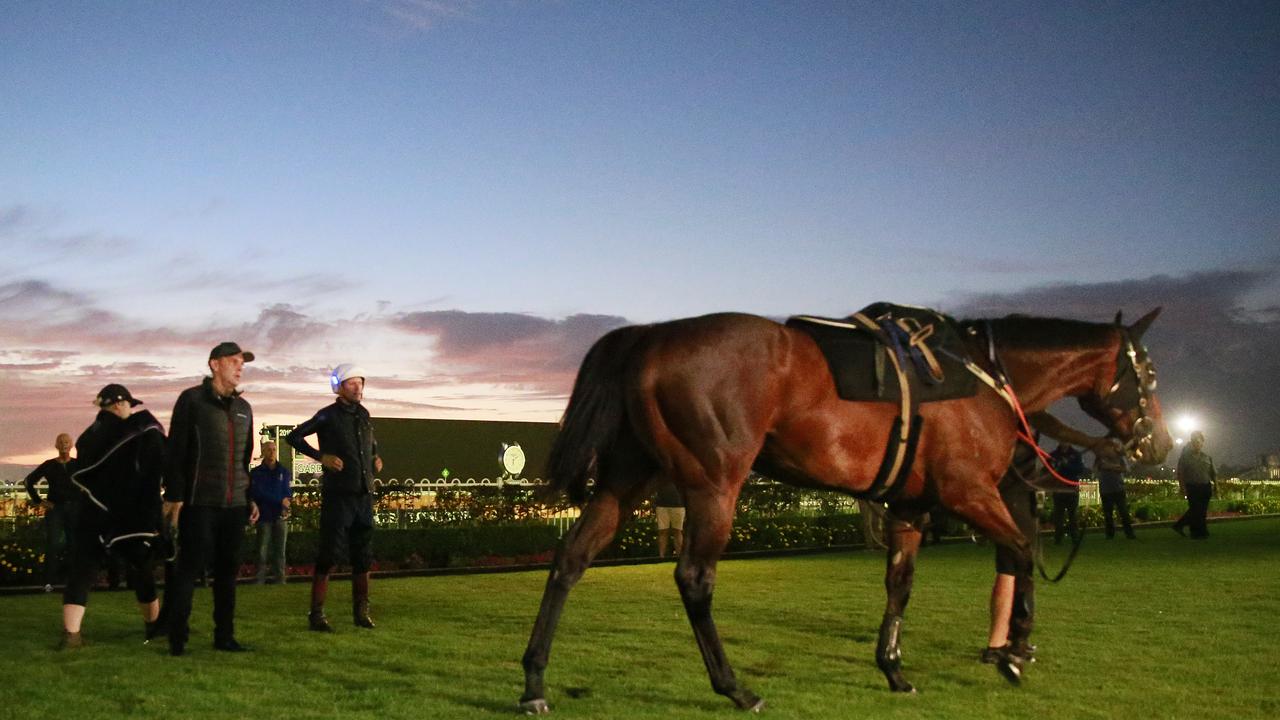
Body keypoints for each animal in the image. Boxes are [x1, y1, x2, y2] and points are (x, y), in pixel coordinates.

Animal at [517, 304, 1172, 707]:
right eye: (1150, 375)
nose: (1158, 444)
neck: (984, 376)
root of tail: (651, 335)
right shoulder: (968, 492)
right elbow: (1020, 549)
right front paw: (1014, 651)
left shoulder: (909, 505)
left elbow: (900, 584)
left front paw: (894, 667)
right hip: (713, 483)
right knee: (694, 577)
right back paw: (734, 687)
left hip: (628, 476)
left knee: (571, 558)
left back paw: (534, 681)